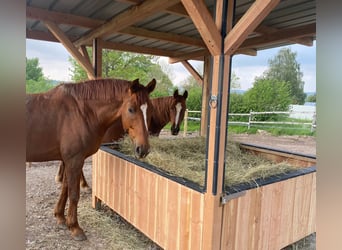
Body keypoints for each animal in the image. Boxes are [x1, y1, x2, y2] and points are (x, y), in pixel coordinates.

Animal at [25, 78, 156, 240]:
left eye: (150, 109)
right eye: (131, 109)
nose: (143, 149)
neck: (81, 112)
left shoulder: (69, 161)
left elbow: (65, 189)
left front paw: (60, 217)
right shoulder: (74, 160)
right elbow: (74, 194)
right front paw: (75, 227)